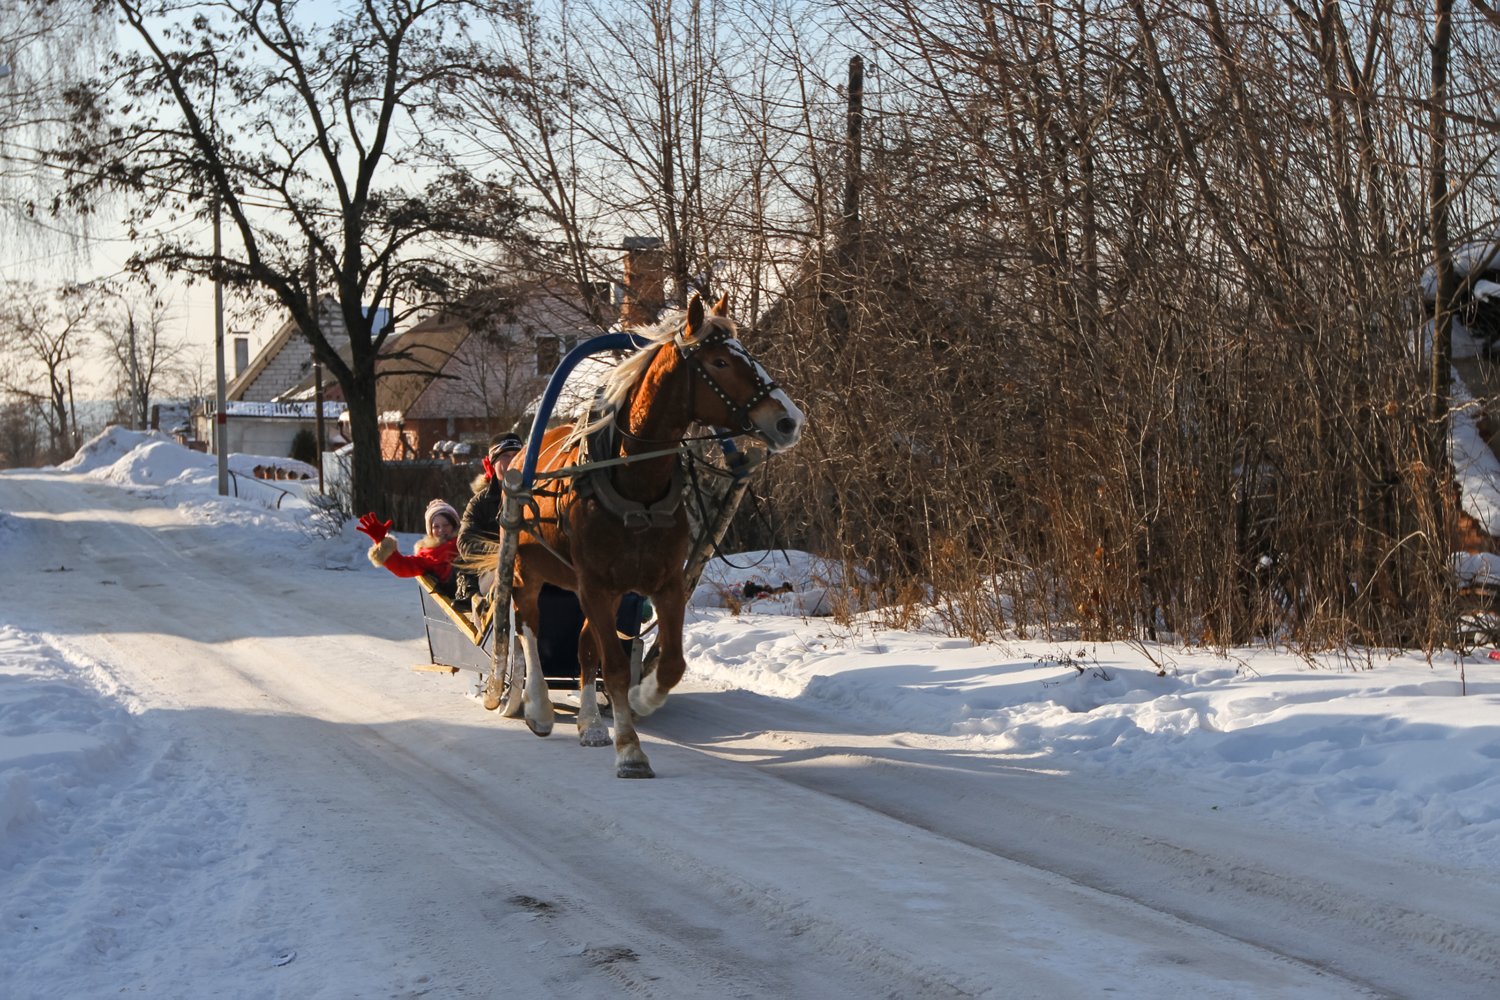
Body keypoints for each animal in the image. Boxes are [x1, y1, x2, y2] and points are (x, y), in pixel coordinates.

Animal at [498, 293, 804, 779]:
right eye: (719, 362)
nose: (790, 420)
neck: (634, 485)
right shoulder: (595, 585)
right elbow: (615, 668)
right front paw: (630, 749)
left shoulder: (664, 584)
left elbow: (668, 663)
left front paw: (641, 700)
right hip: (531, 571)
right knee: (528, 627)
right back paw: (538, 708)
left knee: (585, 650)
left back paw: (590, 723)